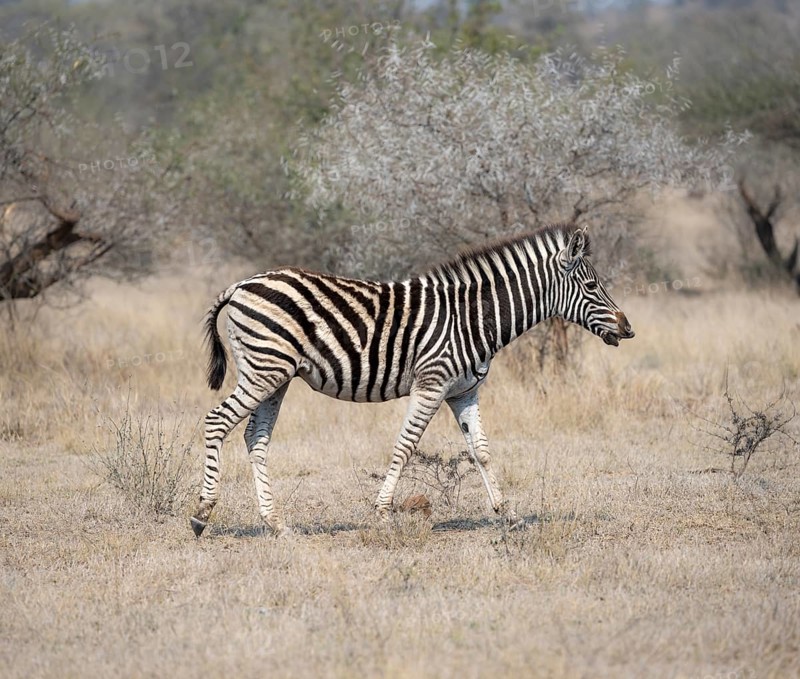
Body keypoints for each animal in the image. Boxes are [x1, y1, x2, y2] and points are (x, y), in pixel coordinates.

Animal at [190, 223, 634, 537]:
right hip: (264, 369)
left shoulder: (464, 392)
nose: (628, 329)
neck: (475, 317)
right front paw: (383, 515)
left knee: (255, 437)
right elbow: (404, 447)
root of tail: (241, 285)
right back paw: (201, 514)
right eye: (592, 286)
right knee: (217, 422)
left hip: (275, 375)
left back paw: (276, 523)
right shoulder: (431, 383)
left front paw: (506, 514)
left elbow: (481, 451)